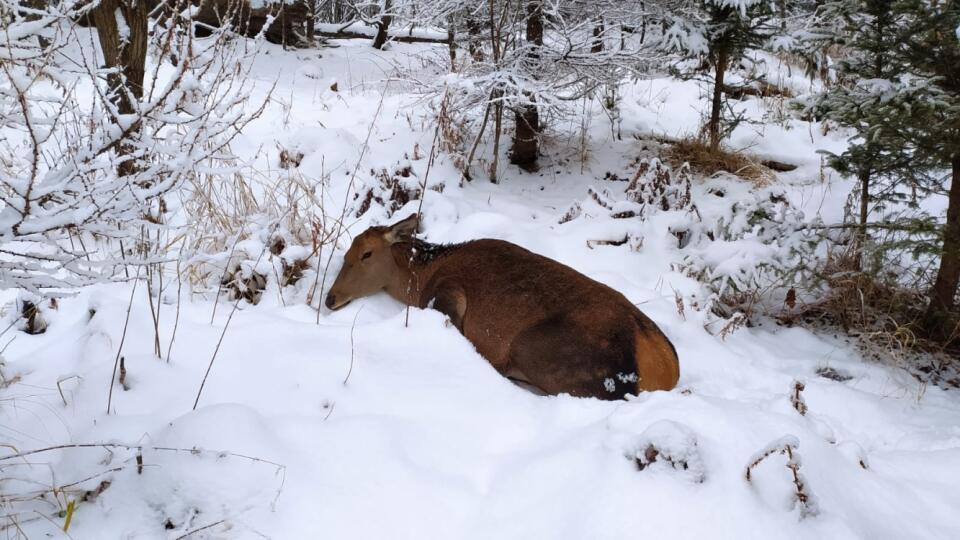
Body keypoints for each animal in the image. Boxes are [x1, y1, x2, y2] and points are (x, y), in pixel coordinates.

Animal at [326, 213, 680, 398]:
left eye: (366, 254)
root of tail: (665, 371)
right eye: (347, 253)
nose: (330, 298)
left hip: (541, 350)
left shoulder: (447, 294)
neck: (421, 279)